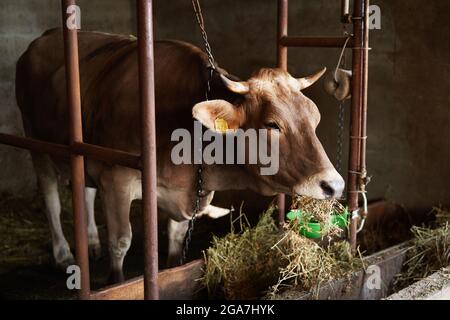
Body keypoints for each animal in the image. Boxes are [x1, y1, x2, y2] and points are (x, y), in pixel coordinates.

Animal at [15, 28, 342, 282]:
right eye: (272, 124)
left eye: (315, 118)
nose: (335, 185)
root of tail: (42, 38)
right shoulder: (116, 178)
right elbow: (120, 242)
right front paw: (114, 281)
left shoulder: (184, 192)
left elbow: (174, 241)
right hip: (36, 143)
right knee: (51, 199)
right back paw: (63, 255)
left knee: (84, 190)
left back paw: (91, 242)